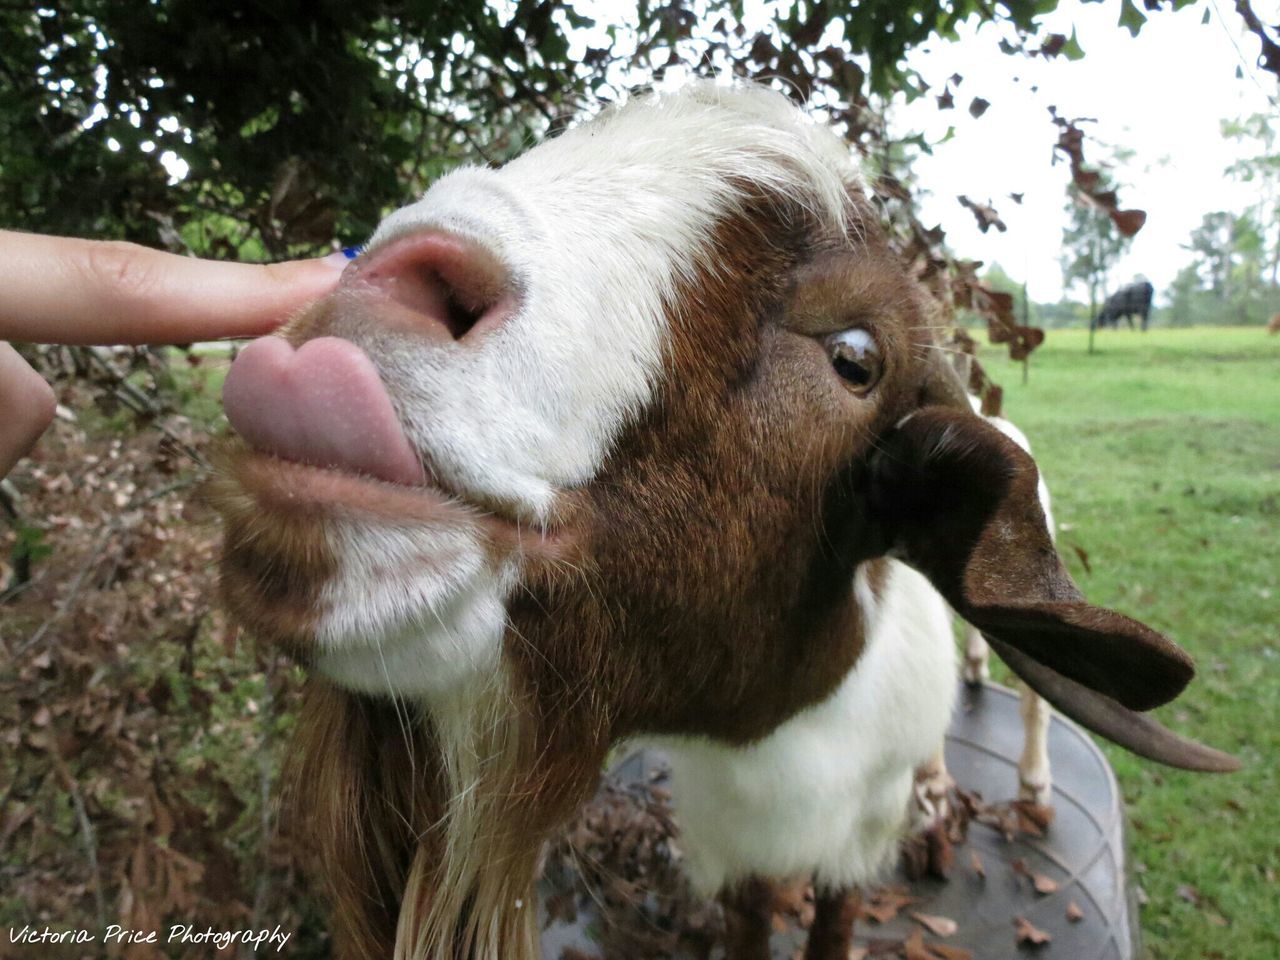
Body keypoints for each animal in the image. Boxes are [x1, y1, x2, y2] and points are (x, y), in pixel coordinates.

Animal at [212, 80, 1239, 960]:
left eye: (856, 357)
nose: (379, 290)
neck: (780, 749)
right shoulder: (728, 839)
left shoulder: (855, 841)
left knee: (1022, 695)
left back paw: (1022, 784)